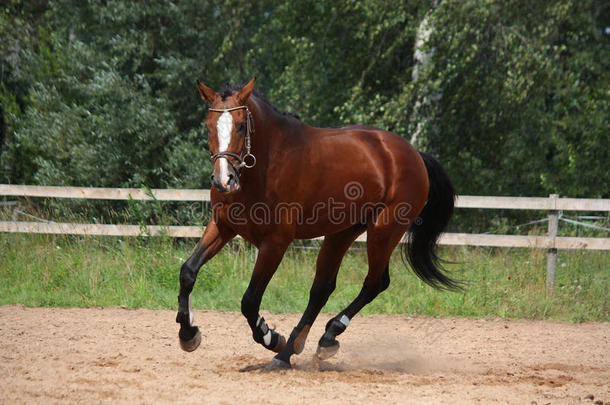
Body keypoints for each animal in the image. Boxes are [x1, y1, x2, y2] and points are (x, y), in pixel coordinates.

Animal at [173, 76, 454, 370]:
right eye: (208, 126)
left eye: (240, 125)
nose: (223, 180)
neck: (266, 166)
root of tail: (413, 154)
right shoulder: (223, 227)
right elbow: (188, 271)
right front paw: (188, 334)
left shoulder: (275, 244)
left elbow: (249, 301)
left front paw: (271, 337)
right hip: (342, 233)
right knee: (322, 289)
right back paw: (302, 347)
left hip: (383, 231)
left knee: (374, 283)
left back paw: (310, 342)